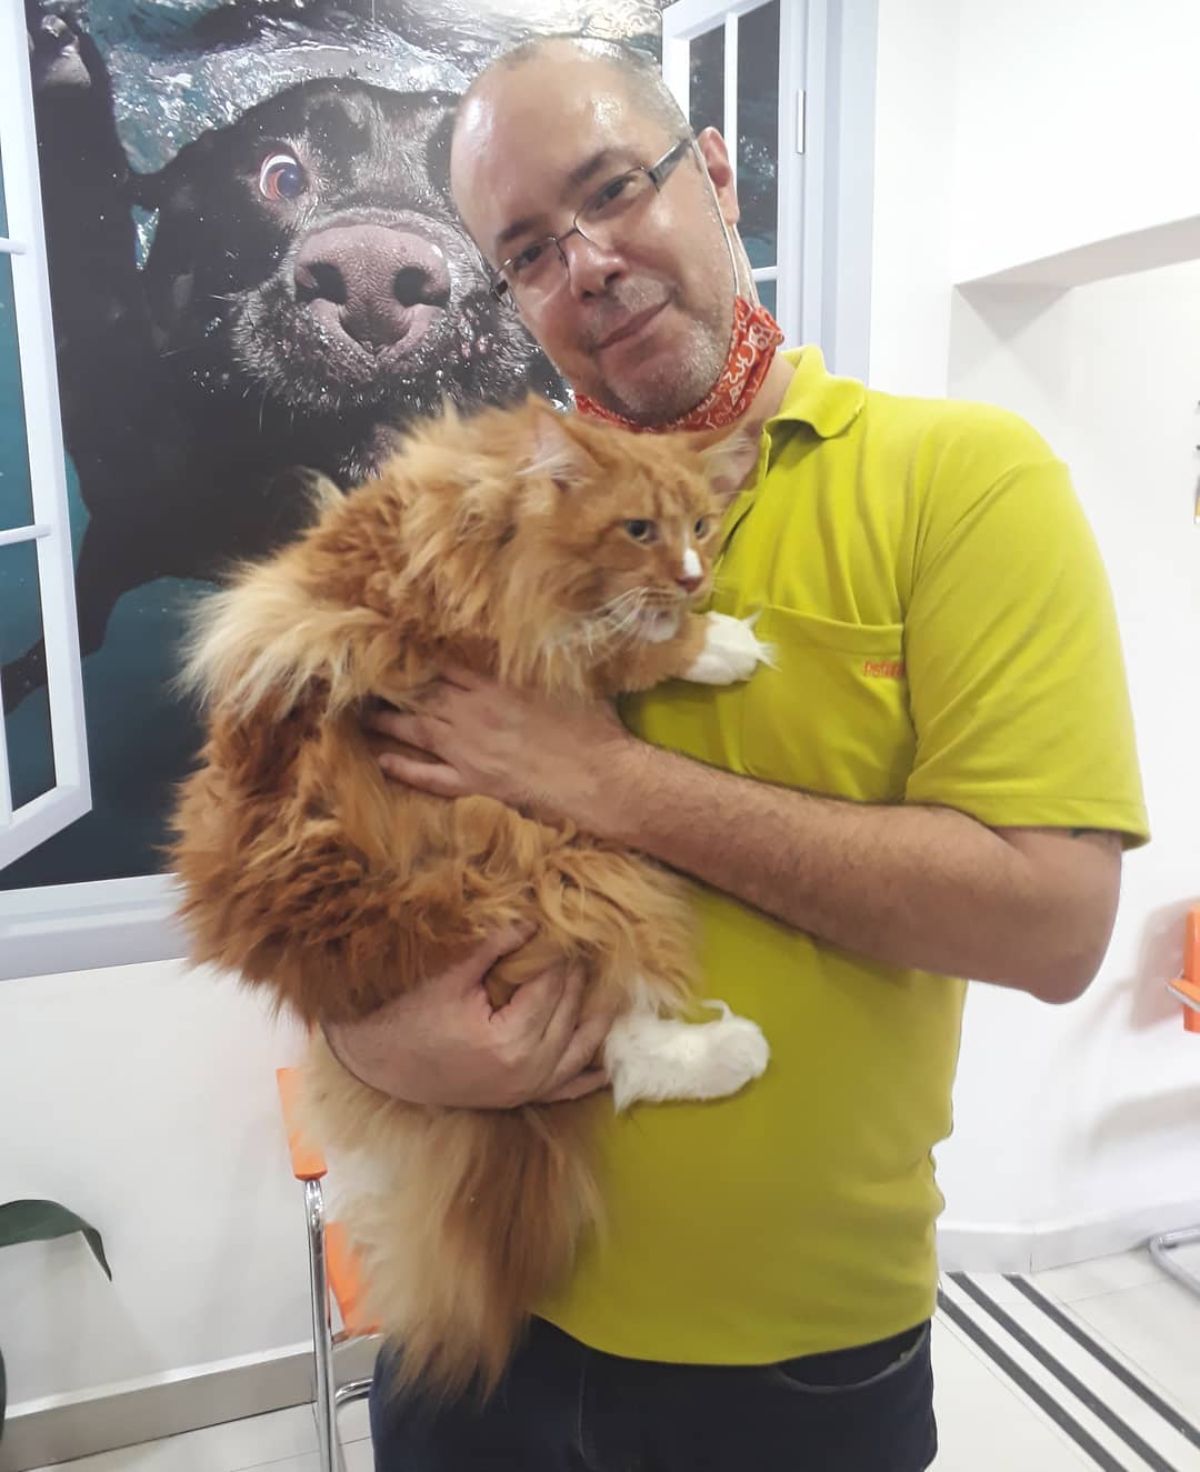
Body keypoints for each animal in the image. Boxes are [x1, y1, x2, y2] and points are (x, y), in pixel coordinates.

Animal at [166, 394, 771, 1401]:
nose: (694, 580)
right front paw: (711, 642)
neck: (492, 514)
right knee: (617, 1038)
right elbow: (617, 649)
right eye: (637, 530)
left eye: (700, 526)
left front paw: (694, 628)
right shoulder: (445, 632)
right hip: (550, 870)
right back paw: (732, 1051)